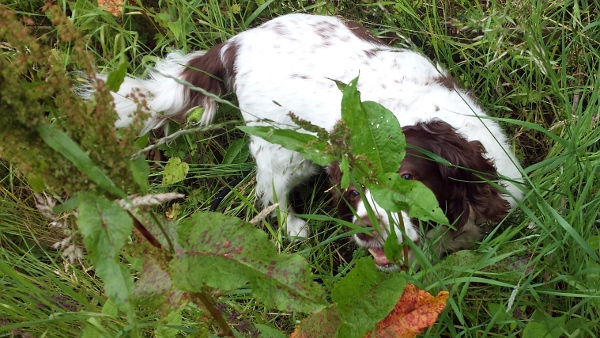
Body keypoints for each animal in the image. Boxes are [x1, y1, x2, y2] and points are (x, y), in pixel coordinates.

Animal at [96, 13, 524, 270]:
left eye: (405, 178)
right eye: (351, 192)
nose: (366, 230)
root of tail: (237, 43)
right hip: (283, 151)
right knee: (271, 194)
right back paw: (296, 226)